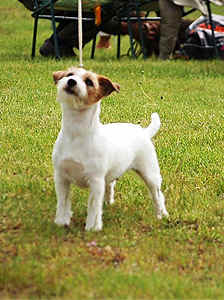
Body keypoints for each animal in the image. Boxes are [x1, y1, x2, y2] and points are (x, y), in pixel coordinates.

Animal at [52, 67, 168, 232]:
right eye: (70, 74)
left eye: (89, 82)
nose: (71, 81)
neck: (76, 134)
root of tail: (144, 132)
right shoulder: (61, 177)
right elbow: (63, 202)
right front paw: (61, 222)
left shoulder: (95, 181)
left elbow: (93, 206)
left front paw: (92, 228)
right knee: (110, 185)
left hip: (150, 173)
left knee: (157, 195)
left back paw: (161, 214)